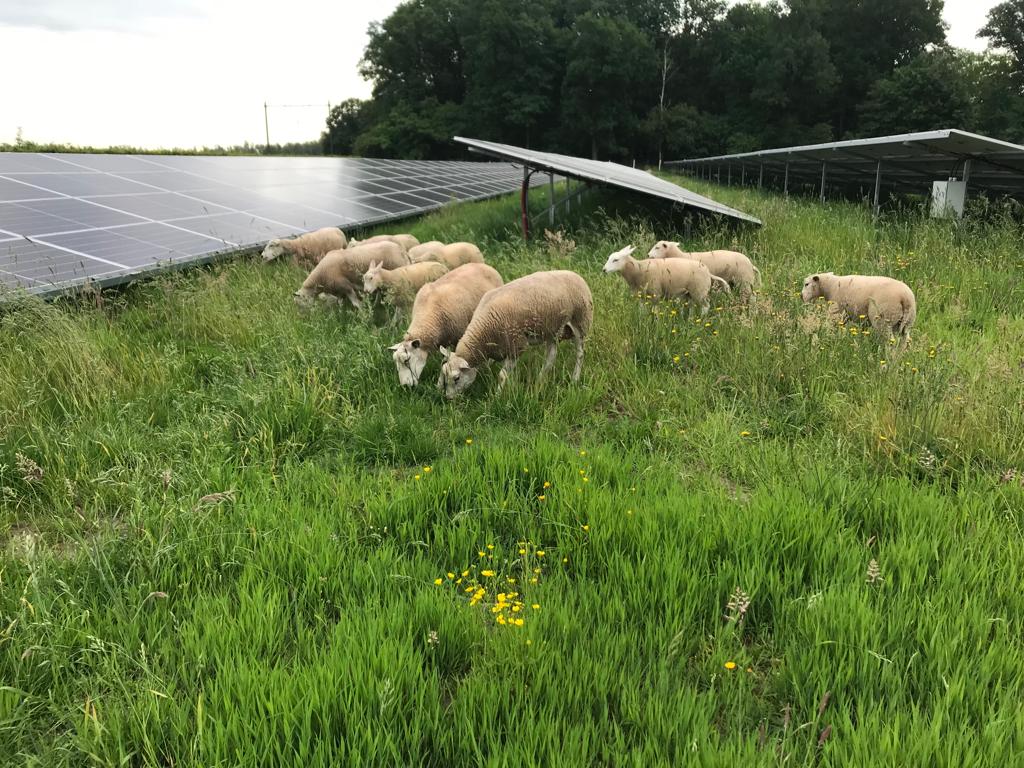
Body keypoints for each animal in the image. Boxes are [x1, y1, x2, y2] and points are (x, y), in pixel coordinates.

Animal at [438, 270, 593, 399]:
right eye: (443, 373)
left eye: (457, 378)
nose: (448, 398)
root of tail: (575, 274)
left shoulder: (516, 345)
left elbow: (502, 375)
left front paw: (497, 397)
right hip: (552, 329)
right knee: (551, 357)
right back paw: (540, 380)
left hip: (581, 321)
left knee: (580, 354)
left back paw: (575, 379)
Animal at [598, 247, 729, 317]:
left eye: (615, 260)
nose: (604, 270)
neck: (639, 269)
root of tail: (708, 272)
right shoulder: (640, 295)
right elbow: (641, 310)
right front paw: (641, 320)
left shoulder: (655, 293)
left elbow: (655, 311)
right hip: (689, 293)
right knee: (691, 306)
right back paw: (690, 320)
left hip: (699, 291)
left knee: (706, 306)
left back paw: (701, 320)